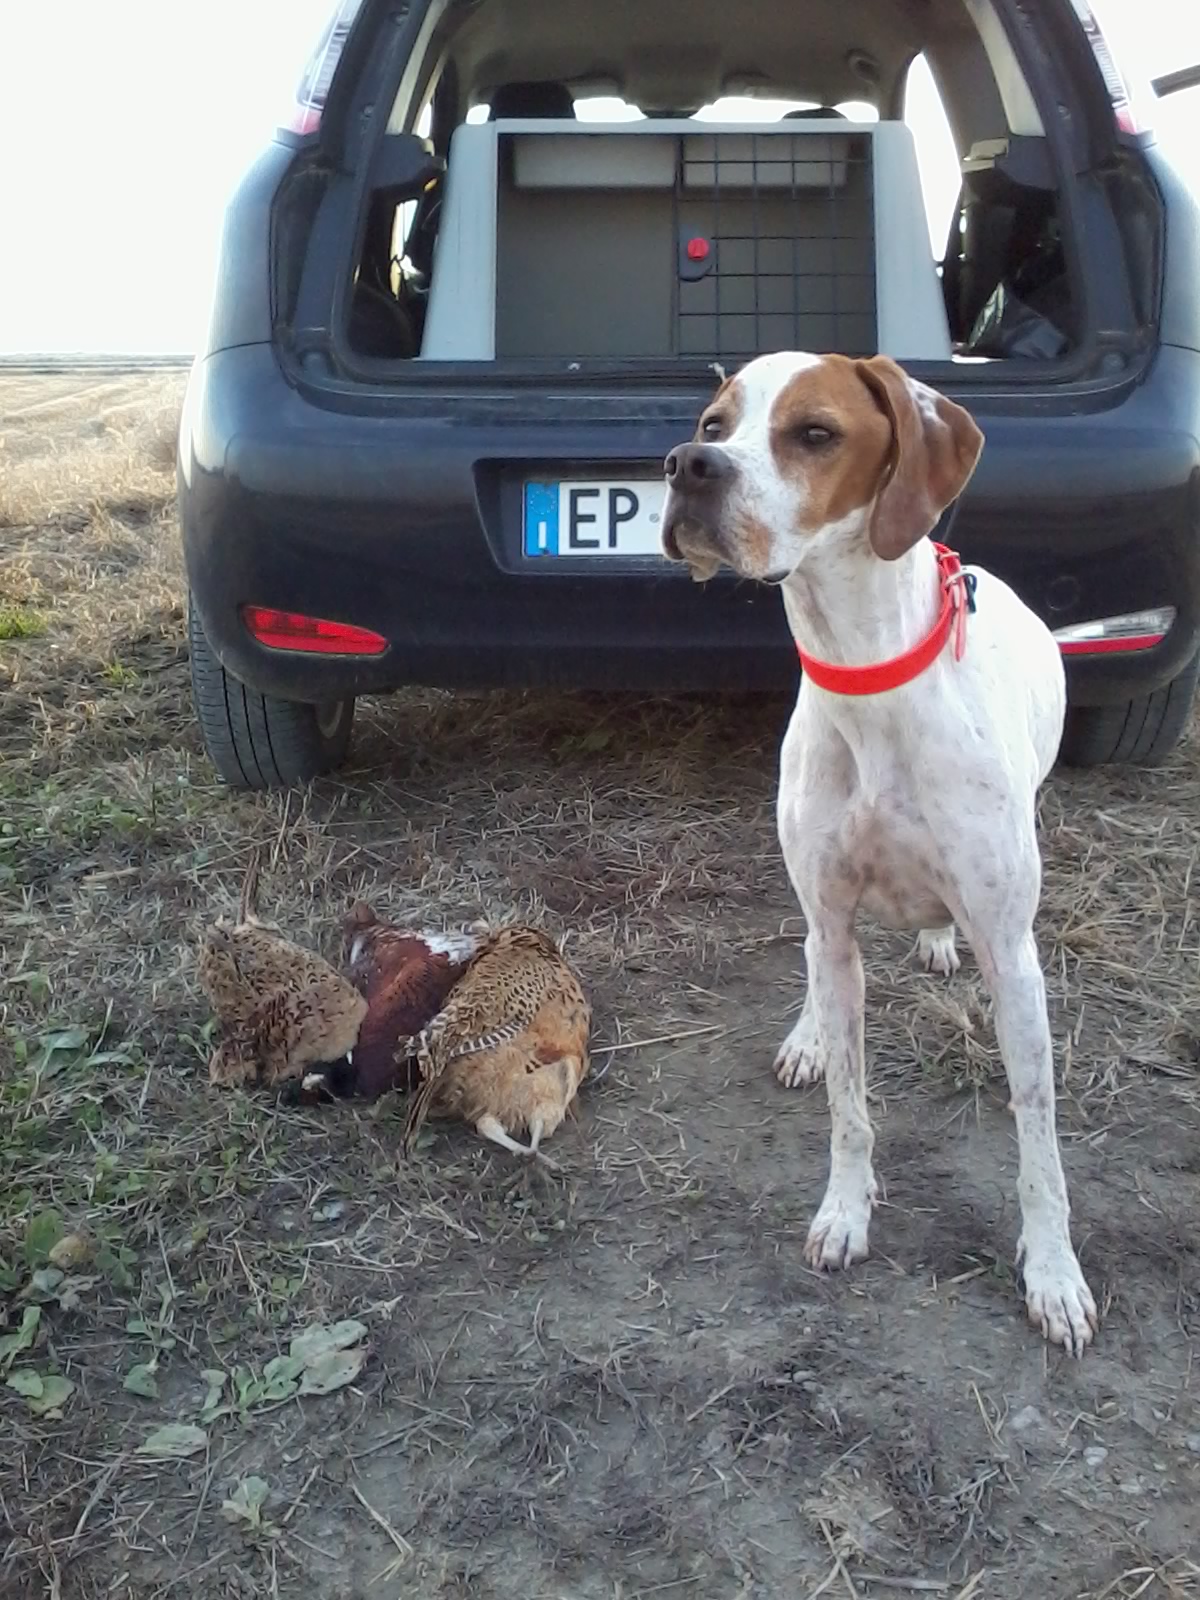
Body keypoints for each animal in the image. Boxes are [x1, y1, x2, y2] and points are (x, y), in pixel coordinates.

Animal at [661, 350, 1098, 1356]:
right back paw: (809, 1034)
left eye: (815, 433)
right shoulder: (832, 921)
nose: (687, 467)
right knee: (818, 970)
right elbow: (850, 1111)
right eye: (713, 425)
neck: (866, 682)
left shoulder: (1015, 960)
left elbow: (1040, 1139)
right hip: (826, 929)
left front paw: (1054, 1274)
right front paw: (845, 1214)